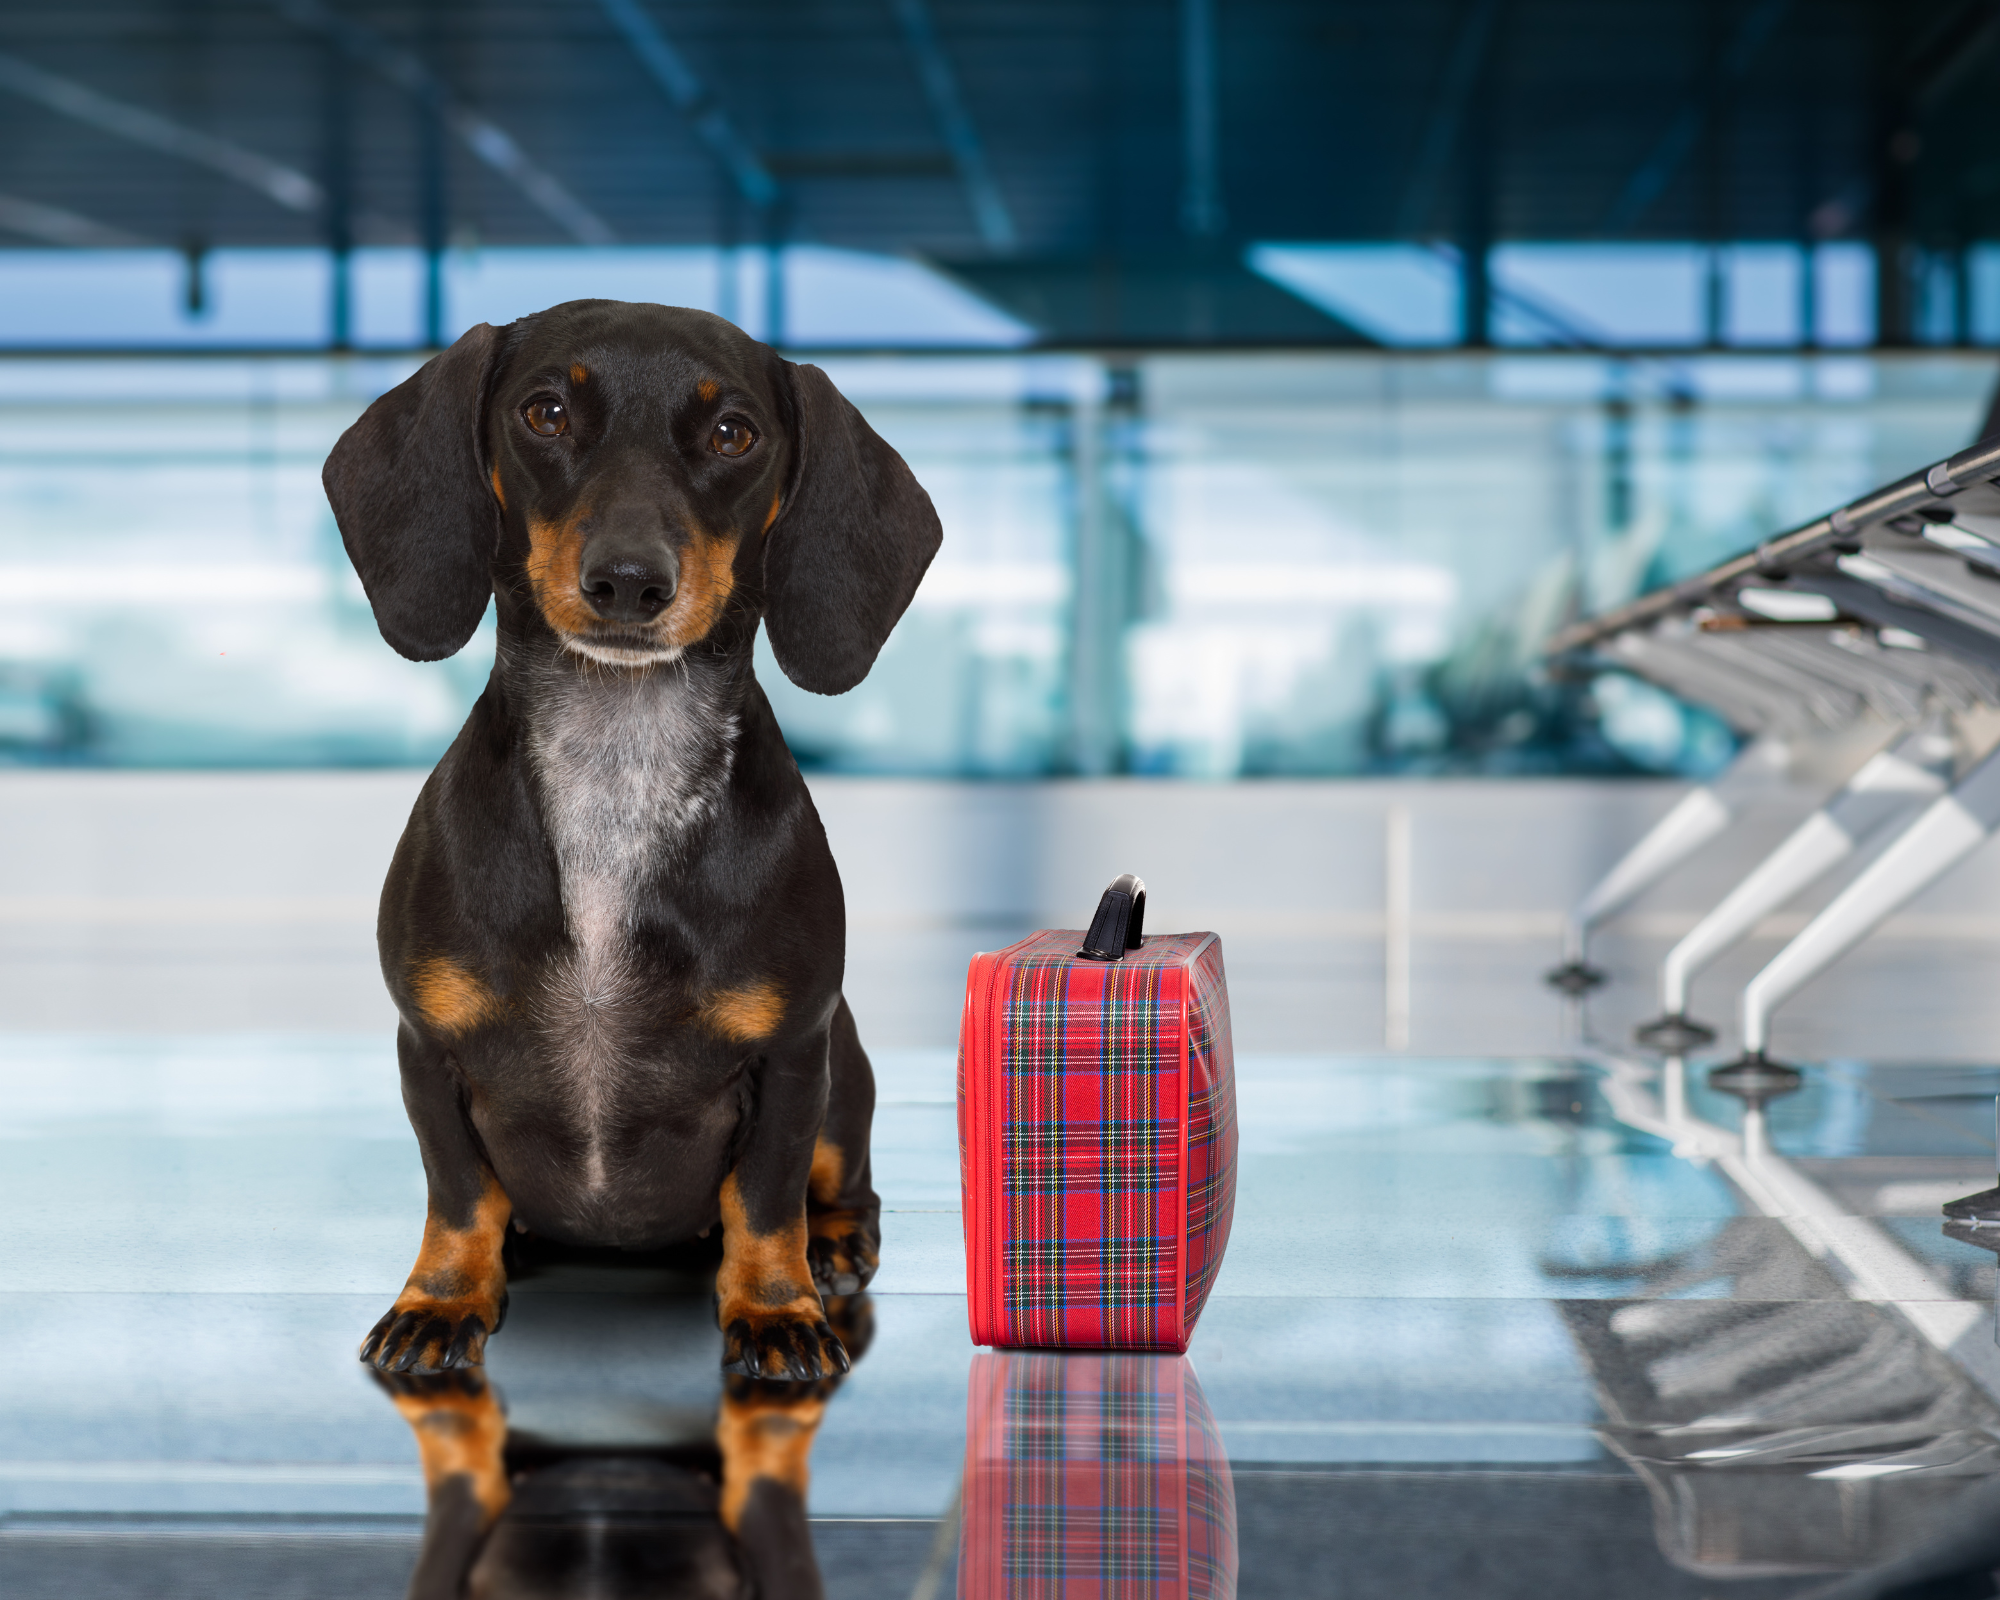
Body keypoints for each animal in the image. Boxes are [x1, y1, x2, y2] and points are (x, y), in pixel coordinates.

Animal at [328, 304, 944, 1384]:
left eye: (735, 433)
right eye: (544, 412)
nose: (626, 581)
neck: (619, 772)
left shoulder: (793, 1055)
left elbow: (764, 1199)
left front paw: (775, 1310)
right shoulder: (428, 1046)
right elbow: (459, 1193)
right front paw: (441, 1298)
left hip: (847, 1067)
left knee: (842, 1184)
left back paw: (833, 1247)